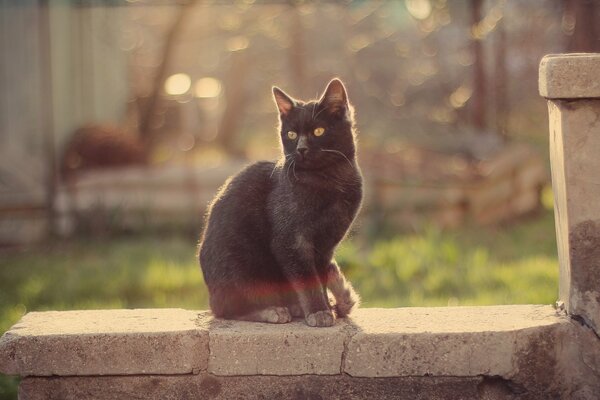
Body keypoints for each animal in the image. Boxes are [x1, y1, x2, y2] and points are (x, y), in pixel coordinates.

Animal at [200, 79, 360, 326]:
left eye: (318, 131)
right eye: (292, 134)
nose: (301, 149)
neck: (330, 181)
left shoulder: (326, 247)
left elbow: (320, 279)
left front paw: (325, 308)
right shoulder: (291, 240)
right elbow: (307, 279)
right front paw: (318, 311)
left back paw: (295, 307)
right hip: (242, 269)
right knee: (228, 310)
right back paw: (273, 311)